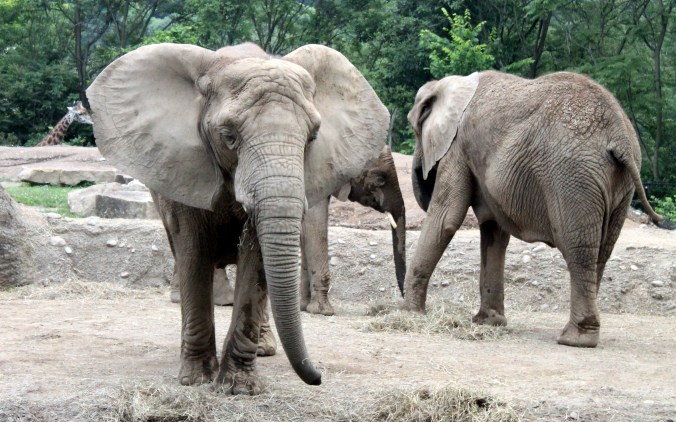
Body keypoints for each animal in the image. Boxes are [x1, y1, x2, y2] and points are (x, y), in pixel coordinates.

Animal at [86, 42, 390, 394]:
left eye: (313, 137)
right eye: (228, 135)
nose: (318, 378)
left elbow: (256, 262)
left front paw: (239, 387)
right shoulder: (185, 168)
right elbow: (193, 251)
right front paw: (195, 380)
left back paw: (265, 348)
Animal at [402, 70, 665, 348]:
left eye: (415, 129)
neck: (454, 84)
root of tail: (619, 136)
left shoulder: (458, 145)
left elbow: (446, 218)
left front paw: (407, 312)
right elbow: (494, 231)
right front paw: (489, 323)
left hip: (571, 176)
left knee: (579, 249)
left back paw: (574, 340)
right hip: (619, 182)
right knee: (601, 252)